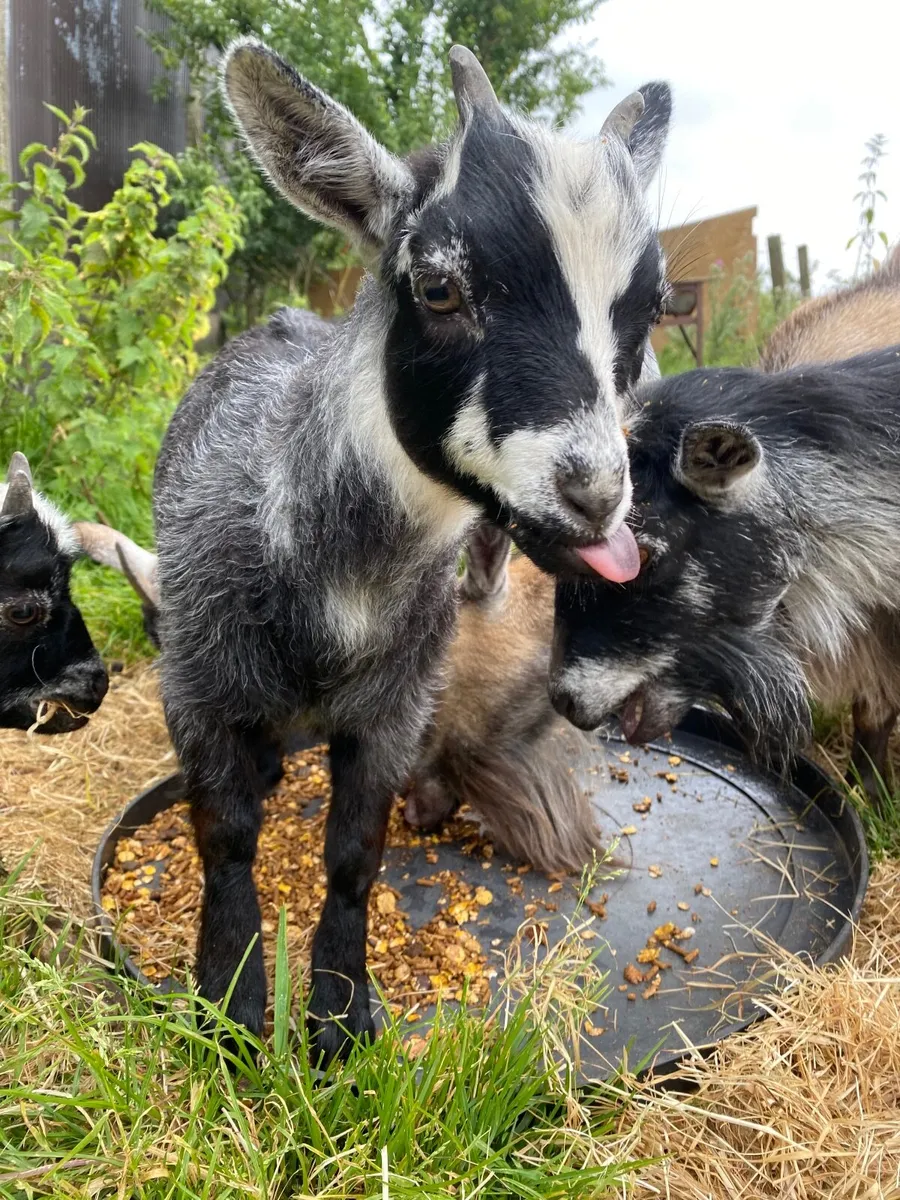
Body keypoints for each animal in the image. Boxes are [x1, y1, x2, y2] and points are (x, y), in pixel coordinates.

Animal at [148, 39, 671, 1061]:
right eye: (438, 287)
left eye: (655, 307)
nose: (595, 494)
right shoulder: (196, 686)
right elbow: (224, 839)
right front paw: (228, 1010)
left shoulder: (393, 707)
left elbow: (356, 854)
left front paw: (341, 1018)